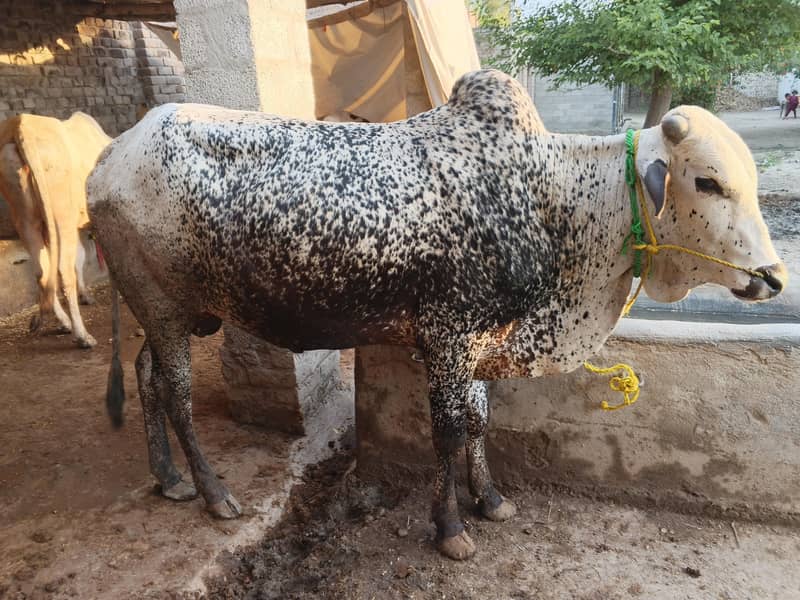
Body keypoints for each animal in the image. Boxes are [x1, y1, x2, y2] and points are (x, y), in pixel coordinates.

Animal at [0, 112, 111, 348]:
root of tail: (22, 124)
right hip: (62, 216)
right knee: (62, 270)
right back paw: (83, 335)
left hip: (26, 216)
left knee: (42, 271)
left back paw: (62, 322)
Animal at [87, 69, 786, 560]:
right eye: (708, 182)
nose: (773, 277)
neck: (552, 200)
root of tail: (112, 152)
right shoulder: (449, 334)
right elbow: (449, 430)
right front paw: (450, 526)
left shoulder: (482, 340)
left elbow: (479, 421)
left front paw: (491, 499)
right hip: (165, 307)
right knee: (176, 394)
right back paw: (212, 493)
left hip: (171, 312)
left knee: (147, 376)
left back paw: (169, 478)